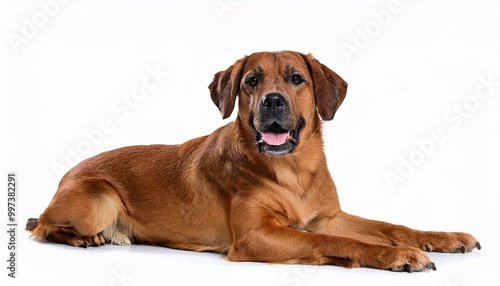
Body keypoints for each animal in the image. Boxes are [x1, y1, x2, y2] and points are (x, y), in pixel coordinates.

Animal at [27, 50, 480, 272]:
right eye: (251, 81)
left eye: (296, 78)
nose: (272, 101)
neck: (293, 172)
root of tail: (65, 176)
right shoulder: (256, 237)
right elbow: (334, 243)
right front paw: (397, 256)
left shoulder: (327, 217)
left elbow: (390, 226)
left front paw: (443, 237)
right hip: (97, 204)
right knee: (43, 227)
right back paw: (83, 238)